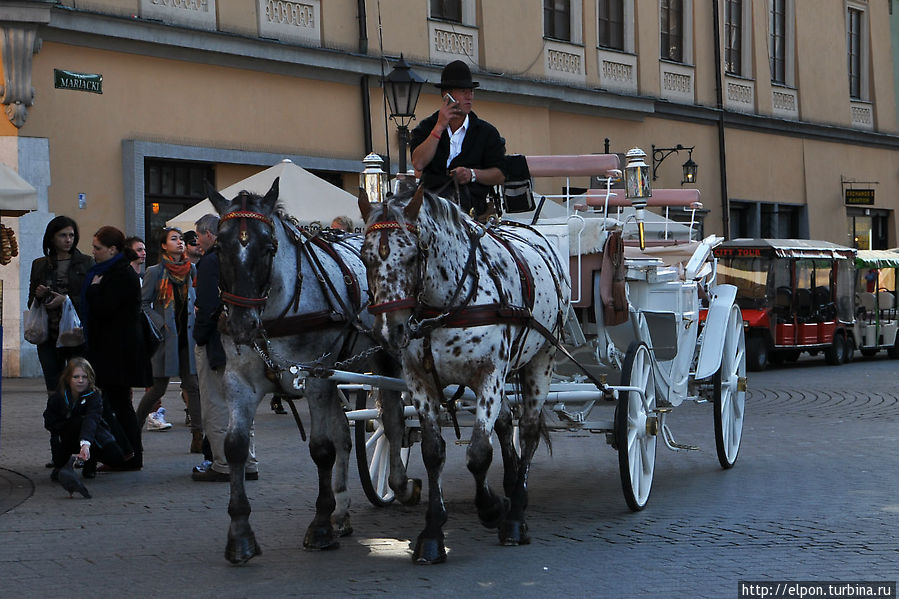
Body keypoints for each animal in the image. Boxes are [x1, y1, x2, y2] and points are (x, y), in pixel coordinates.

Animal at [207, 180, 418, 564]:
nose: (242, 325)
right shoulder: (239, 383)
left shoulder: (317, 377)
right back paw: (342, 511)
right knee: (346, 435)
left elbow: (321, 449)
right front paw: (240, 534)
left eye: (269, 247)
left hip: (387, 356)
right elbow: (235, 447)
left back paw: (399, 485)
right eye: (218, 246)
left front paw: (319, 527)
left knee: (393, 422)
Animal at [356, 185, 568, 564]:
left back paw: (516, 514)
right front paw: (431, 534)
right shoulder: (420, 381)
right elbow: (432, 451)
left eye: (412, 257)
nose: (390, 331)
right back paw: (511, 483)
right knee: (507, 422)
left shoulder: (489, 375)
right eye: (365, 258)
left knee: (528, 430)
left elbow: (479, 453)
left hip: (541, 359)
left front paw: (492, 509)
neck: (445, 305)